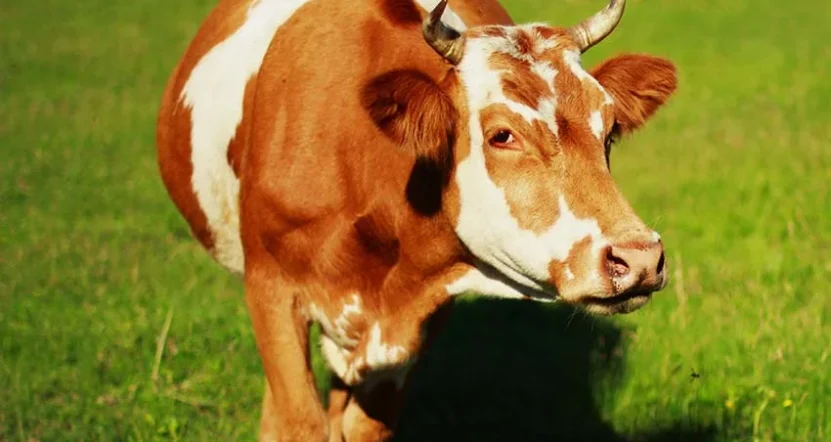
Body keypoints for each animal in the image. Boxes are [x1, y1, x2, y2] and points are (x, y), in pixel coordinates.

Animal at [155, 0, 677, 439]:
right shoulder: (271, 290)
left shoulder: (413, 326)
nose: (639, 257)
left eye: (610, 131)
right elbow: (298, 422)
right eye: (502, 135)